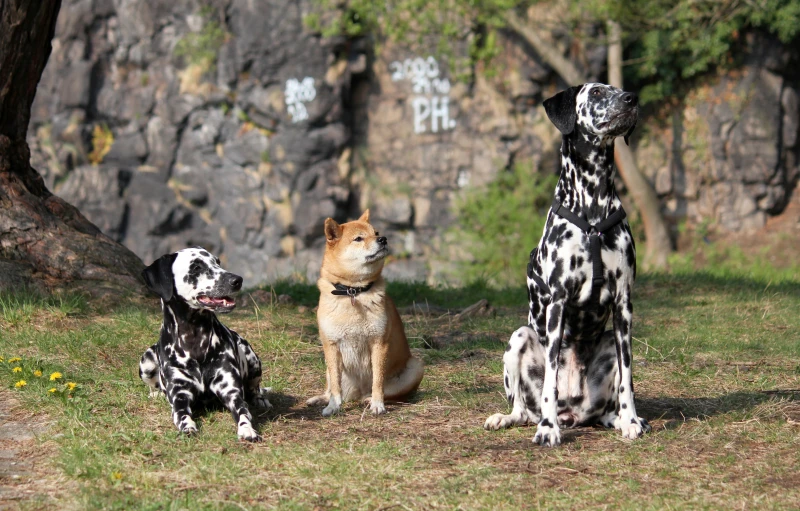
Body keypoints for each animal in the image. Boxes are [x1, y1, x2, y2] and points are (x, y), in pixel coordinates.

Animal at [139, 247, 270, 440]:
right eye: (196, 267)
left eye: (218, 262)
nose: (237, 280)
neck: (195, 341)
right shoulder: (179, 397)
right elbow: (181, 415)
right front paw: (187, 426)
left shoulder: (231, 392)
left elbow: (243, 412)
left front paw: (247, 429)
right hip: (146, 362)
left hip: (252, 359)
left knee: (254, 388)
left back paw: (260, 399)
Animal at [306, 212, 424, 416]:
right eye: (358, 238)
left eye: (376, 233)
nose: (383, 239)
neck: (353, 291)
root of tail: (358, 394)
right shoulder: (331, 345)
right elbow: (335, 385)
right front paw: (333, 406)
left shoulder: (378, 342)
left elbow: (378, 380)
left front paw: (377, 404)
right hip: (329, 368)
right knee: (332, 387)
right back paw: (321, 399)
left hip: (415, 368)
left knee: (393, 394)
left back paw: (369, 399)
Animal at [484, 84, 652, 448]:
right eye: (598, 91)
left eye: (617, 89)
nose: (632, 98)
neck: (593, 211)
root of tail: (572, 412)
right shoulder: (558, 303)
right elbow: (550, 380)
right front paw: (547, 429)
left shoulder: (624, 305)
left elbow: (628, 379)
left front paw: (631, 420)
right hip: (519, 338)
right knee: (521, 408)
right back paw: (511, 418)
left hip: (609, 342)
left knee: (610, 403)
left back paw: (619, 419)